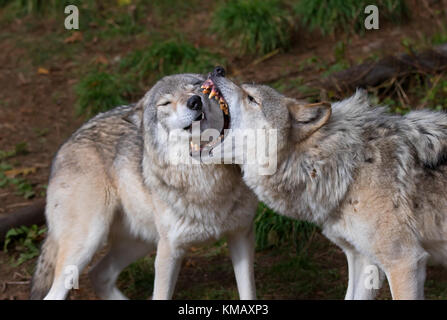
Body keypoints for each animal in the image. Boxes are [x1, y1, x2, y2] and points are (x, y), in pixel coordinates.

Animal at [30, 72, 260, 300]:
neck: (207, 181)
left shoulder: (241, 236)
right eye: (165, 103)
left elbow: (249, 293)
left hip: (142, 242)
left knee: (98, 274)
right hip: (88, 242)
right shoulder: (169, 251)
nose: (195, 101)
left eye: (197, 87)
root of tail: (65, 145)